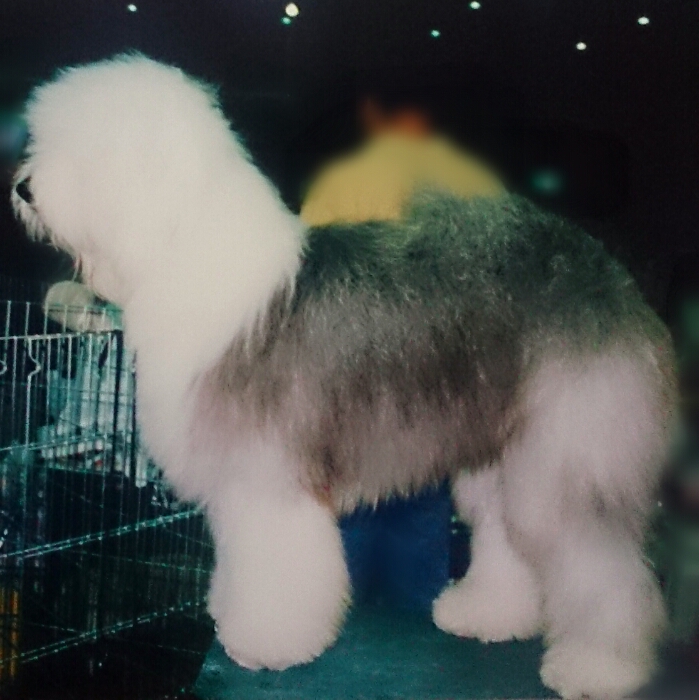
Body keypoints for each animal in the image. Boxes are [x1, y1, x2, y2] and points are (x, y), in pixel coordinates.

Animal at [12, 56, 680, 700]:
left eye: (91, 147)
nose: (22, 188)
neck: (185, 251)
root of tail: (605, 267)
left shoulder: (266, 477)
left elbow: (273, 569)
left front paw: (265, 643)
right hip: (503, 453)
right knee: (507, 537)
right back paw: (488, 616)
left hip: (569, 454)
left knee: (606, 568)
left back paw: (600, 669)